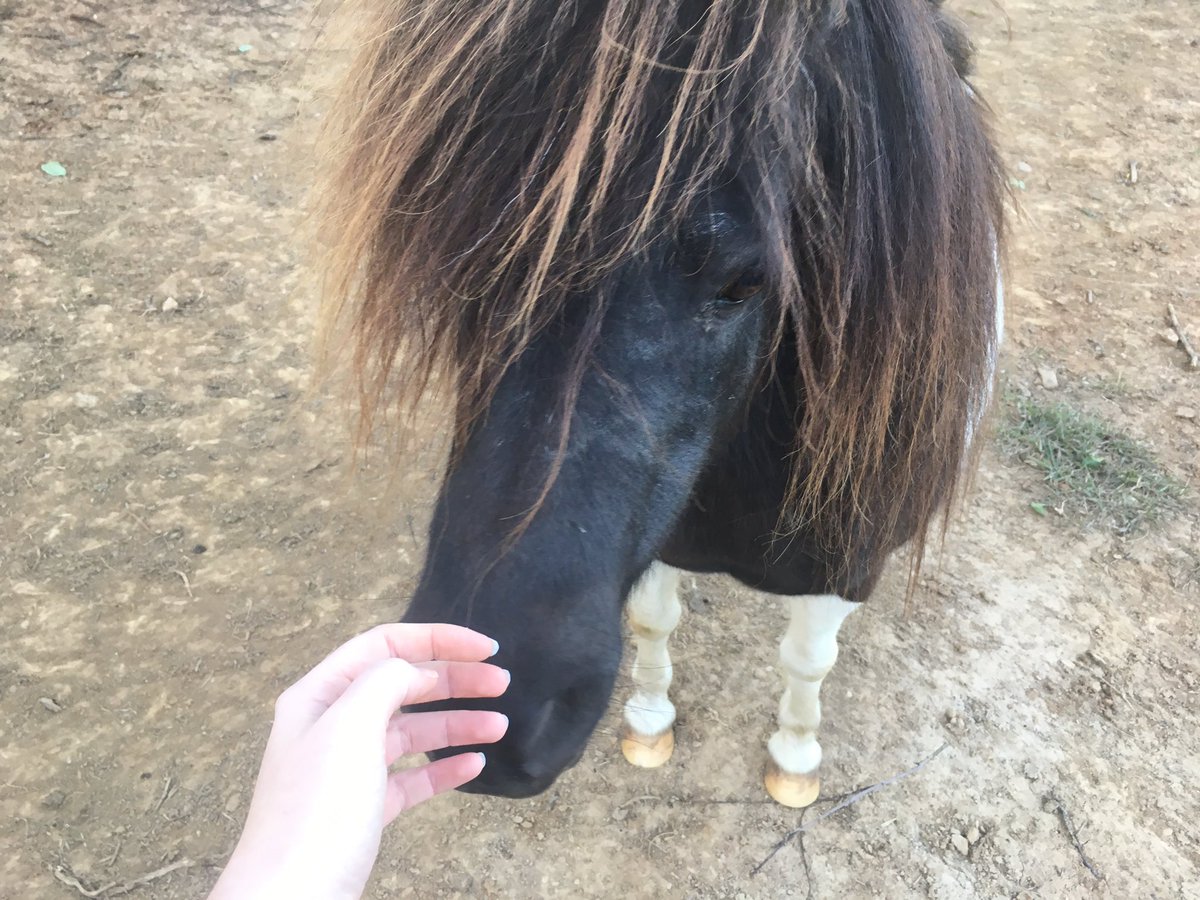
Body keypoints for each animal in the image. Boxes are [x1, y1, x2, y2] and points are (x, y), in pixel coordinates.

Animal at [313, 0, 1004, 807]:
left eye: (747, 281)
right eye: (455, 247)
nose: (498, 713)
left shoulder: (841, 571)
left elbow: (806, 661)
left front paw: (794, 761)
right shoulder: (663, 544)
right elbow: (653, 621)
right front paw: (649, 725)